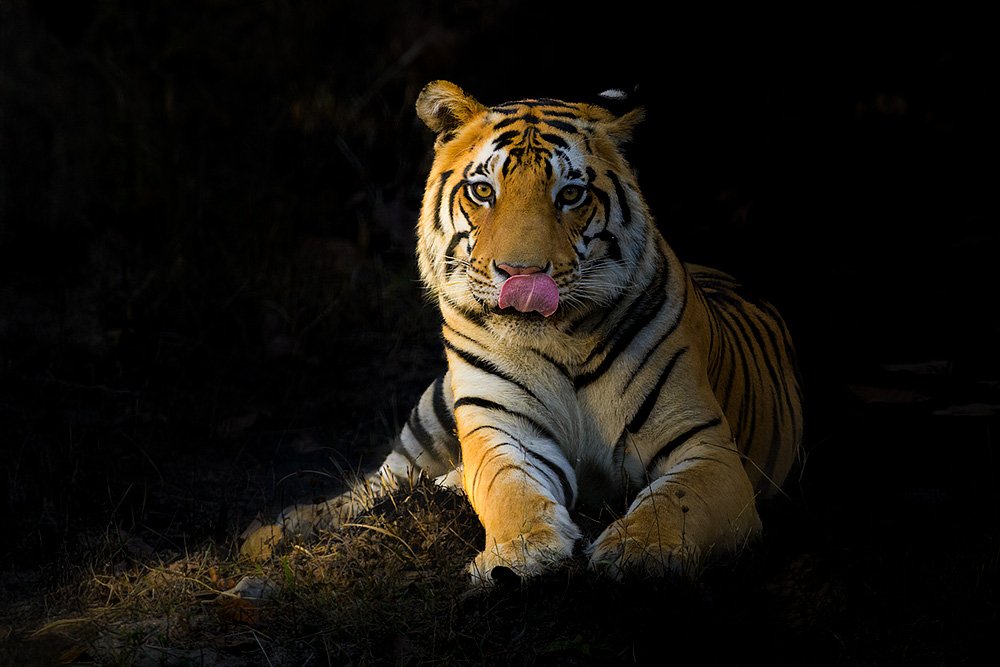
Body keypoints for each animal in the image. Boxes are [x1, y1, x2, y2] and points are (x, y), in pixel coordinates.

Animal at [242, 80, 804, 586]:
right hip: (433, 409)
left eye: (571, 194)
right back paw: (271, 533)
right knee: (379, 481)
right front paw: (522, 553)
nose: (522, 276)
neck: (563, 337)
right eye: (482, 190)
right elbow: (506, 490)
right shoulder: (502, 431)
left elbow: (674, 505)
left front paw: (640, 553)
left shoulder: (705, 447)